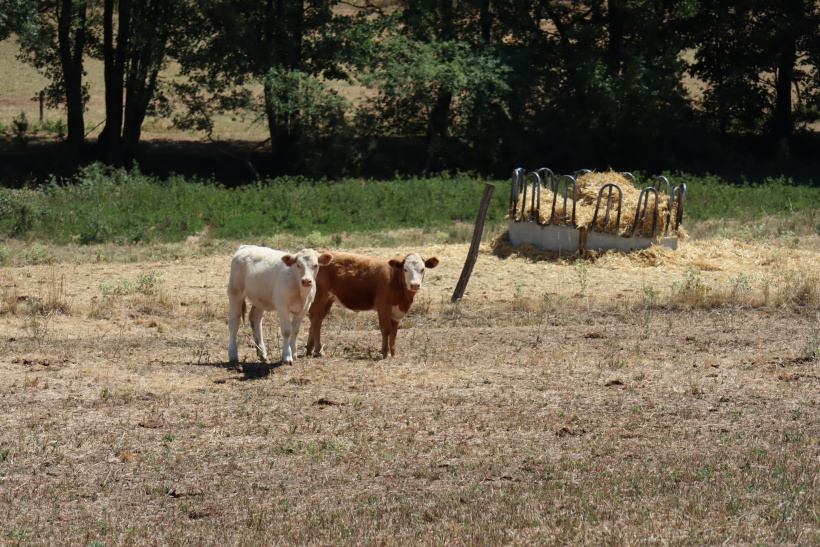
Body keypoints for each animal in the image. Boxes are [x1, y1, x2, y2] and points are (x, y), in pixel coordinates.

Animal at [306, 253, 436, 360]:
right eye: (405, 269)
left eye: (422, 269)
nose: (415, 285)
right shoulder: (383, 307)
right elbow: (386, 330)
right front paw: (385, 353)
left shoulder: (396, 312)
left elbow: (394, 332)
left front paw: (393, 353)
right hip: (320, 297)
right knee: (316, 321)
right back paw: (319, 350)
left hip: (327, 300)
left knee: (314, 320)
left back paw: (309, 349)